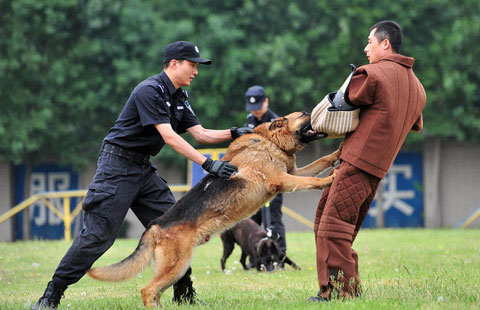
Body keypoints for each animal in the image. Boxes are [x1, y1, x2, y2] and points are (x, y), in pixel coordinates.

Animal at [86, 112, 342, 308]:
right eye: (304, 115)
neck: (269, 141)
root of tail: (154, 227)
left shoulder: (293, 173)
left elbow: (320, 162)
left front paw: (337, 154)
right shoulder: (283, 179)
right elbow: (312, 180)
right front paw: (329, 179)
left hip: (176, 268)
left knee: (155, 291)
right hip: (176, 266)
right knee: (147, 290)